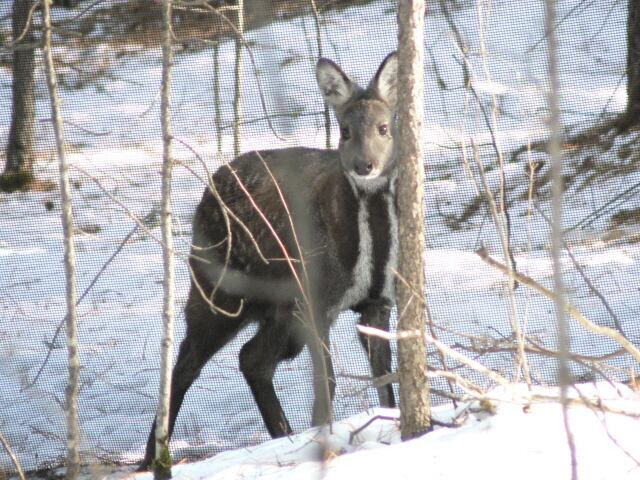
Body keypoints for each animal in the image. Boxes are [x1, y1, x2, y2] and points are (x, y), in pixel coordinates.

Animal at [141, 52, 400, 468]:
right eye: (344, 130)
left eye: (383, 127)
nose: (364, 166)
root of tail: (208, 189)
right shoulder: (315, 299)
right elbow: (326, 380)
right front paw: (322, 439)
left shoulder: (378, 302)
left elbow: (385, 376)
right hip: (218, 287)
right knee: (186, 361)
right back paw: (153, 459)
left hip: (277, 306)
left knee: (252, 358)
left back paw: (282, 435)